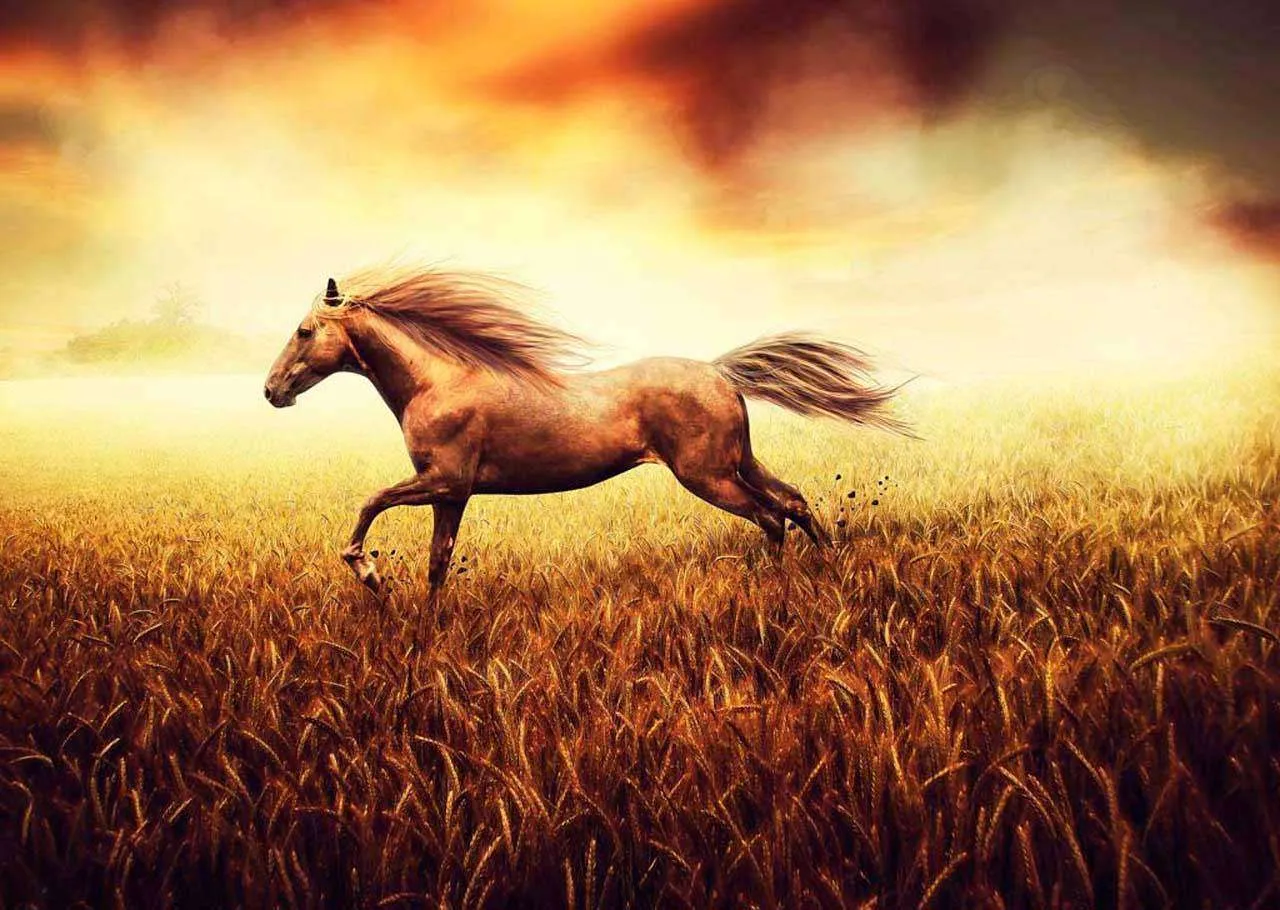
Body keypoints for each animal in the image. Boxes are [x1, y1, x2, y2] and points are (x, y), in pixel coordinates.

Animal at [264, 266, 910, 605]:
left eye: (304, 331)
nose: (272, 391)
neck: (438, 380)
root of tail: (720, 372)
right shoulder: (452, 494)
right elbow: (437, 563)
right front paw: (426, 624)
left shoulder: (442, 480)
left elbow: (370, 503)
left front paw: (369, 574)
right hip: (737, 462)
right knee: (793, 501)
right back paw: (827, 565)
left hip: (707, 475)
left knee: (770, 516)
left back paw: (771, 588)